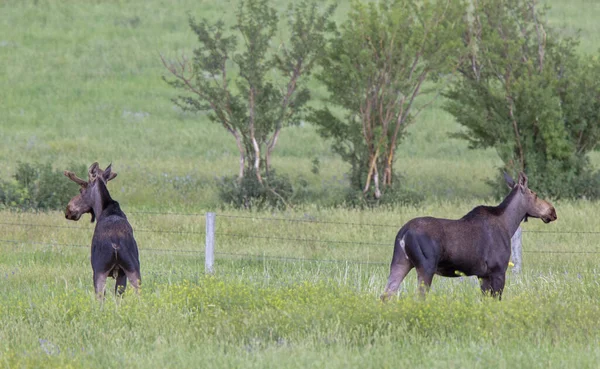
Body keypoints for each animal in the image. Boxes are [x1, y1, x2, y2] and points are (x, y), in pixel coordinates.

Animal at [63, 162, 142, 298]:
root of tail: (116, 243)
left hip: (99, 269)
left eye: (81, 190)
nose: (68, 210)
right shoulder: (121, 274)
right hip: (133, 269)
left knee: (100, 297)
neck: (103, 209)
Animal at [382, 171, 556, 300]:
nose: (552, 211)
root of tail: (403, 233)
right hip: (426, 266)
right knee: (418, 297)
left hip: (400, 262)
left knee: (386, 294)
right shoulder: (498, 270)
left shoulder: (483, 275)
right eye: (535, 194)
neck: (509, 225)